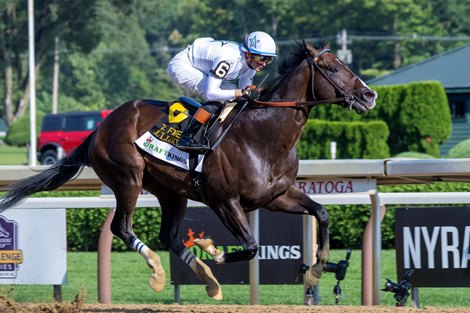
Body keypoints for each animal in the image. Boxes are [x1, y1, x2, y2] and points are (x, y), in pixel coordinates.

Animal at [0, 40, 374, 298]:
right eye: (333, 69)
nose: (370, 95)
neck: (263, 134)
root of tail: (101, 126)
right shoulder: (225, 201)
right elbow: (250, 246)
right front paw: (211, 249)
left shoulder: (276, 195)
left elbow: (321, 212)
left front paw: (315, 270)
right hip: (127, 178)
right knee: (122, 227)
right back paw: (158, 271)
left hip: (170, 191)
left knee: (168, 234)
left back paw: (207, 281)